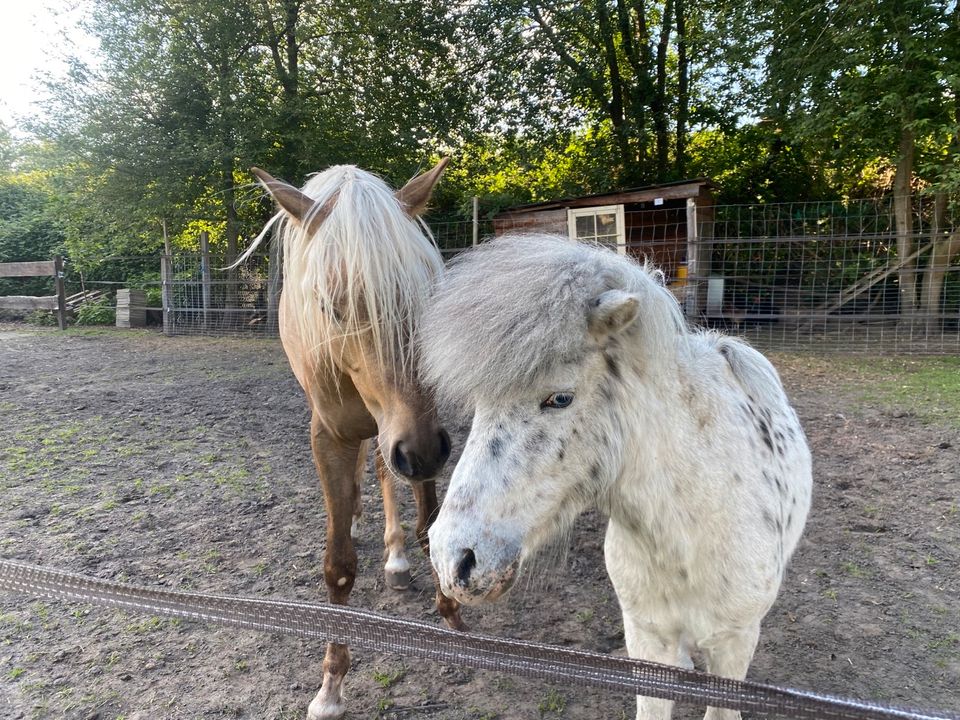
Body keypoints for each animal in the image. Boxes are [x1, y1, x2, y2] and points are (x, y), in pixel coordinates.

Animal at [244, 163, 462, 720]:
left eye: (428, 294)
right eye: (330, 305)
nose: (422, 450)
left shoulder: (418, 433)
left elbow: (427, 525)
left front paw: (449, 611)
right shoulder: (332, 436)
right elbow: (338, 567)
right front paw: (330, 687)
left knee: (386, 472)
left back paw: (395, 556)